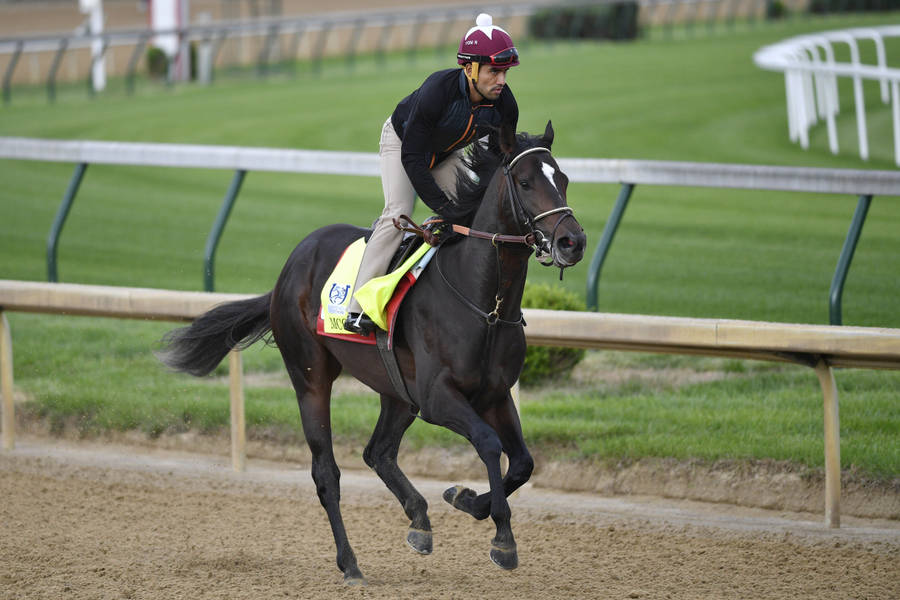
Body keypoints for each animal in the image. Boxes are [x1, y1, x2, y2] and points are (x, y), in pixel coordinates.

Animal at [158, 119, 588, 584]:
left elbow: (523, 462)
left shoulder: (494, 394)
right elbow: (490, 444)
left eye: (563, 179)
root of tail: (289, 268)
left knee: (377, 452)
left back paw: (419, 520)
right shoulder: (438, 398)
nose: (573, 241)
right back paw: (350, 563)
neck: (485, 305)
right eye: (525, 183)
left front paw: (468, 500)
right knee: (326, 473)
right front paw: (502, 539)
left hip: (397, 391)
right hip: (310, 377)